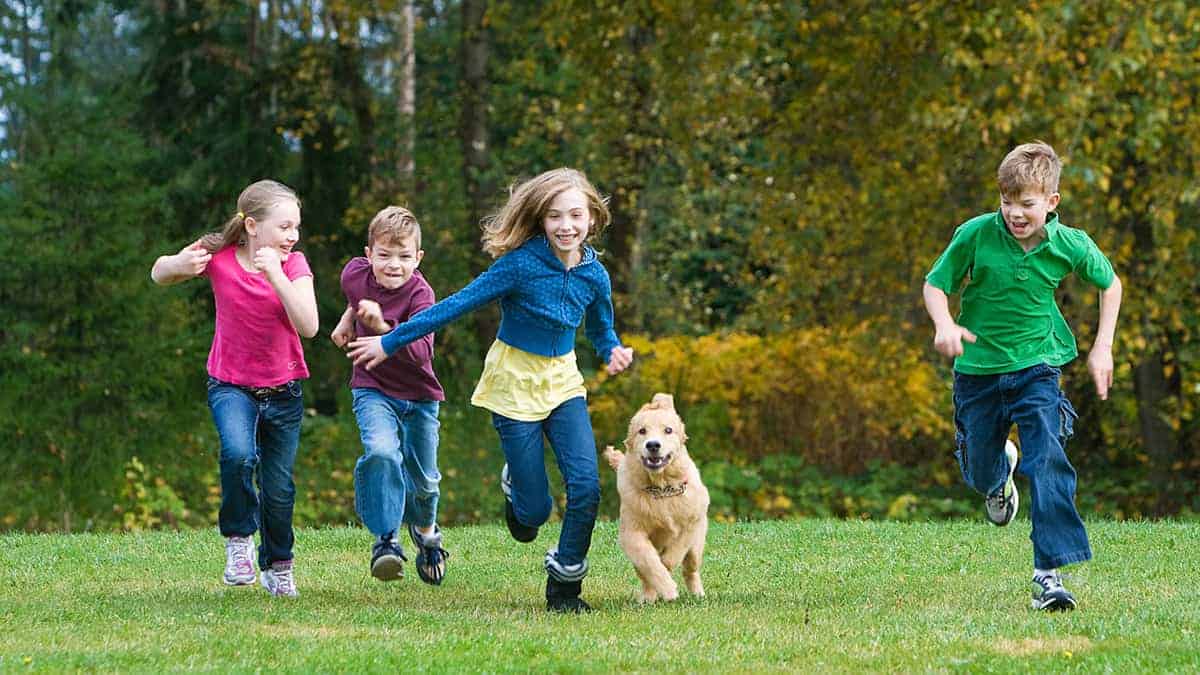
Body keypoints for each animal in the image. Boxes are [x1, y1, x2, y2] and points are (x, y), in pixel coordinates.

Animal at [604, 391, 705, 600]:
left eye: (668, 430)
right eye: (642, 431)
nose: (652, 445)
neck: (661, 488)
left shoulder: (692, 521)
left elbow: (674, 553)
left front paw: (668, 573)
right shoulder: (631, 534)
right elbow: (649, 562)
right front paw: (667, 589)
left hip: (696, 547)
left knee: (690, 568)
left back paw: (697, 593)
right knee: (644, 572)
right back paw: (648, 597)